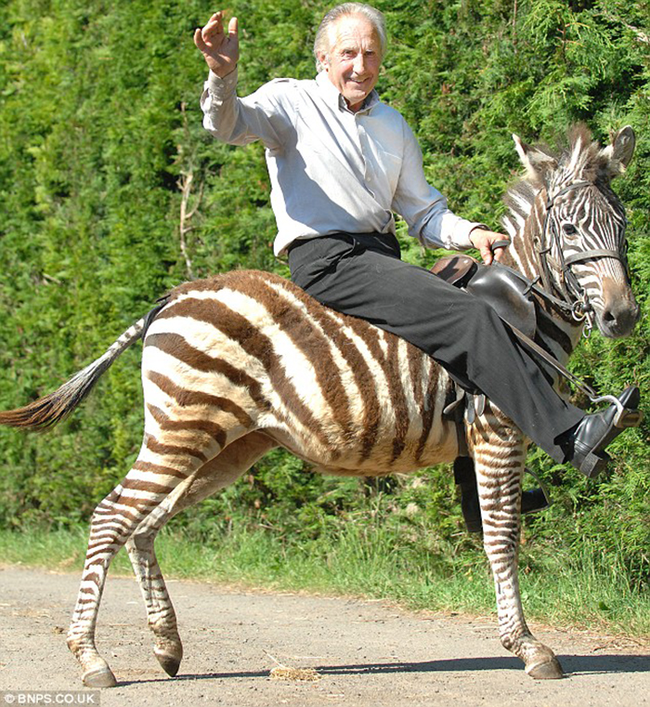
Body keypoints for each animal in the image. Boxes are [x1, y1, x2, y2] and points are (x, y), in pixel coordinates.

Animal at [0, 125, 640, 687]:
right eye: (569, 227)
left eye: (623, 224)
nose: (623, 316)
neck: (518, 313)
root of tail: (171, 298)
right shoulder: (498, 429)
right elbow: (503, 534)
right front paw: (529, 647)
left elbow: (496, 529)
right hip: (182, 428)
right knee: (111, 516)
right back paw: (92, 660)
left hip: (225, 444)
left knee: (144, 523)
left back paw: (166, 645)